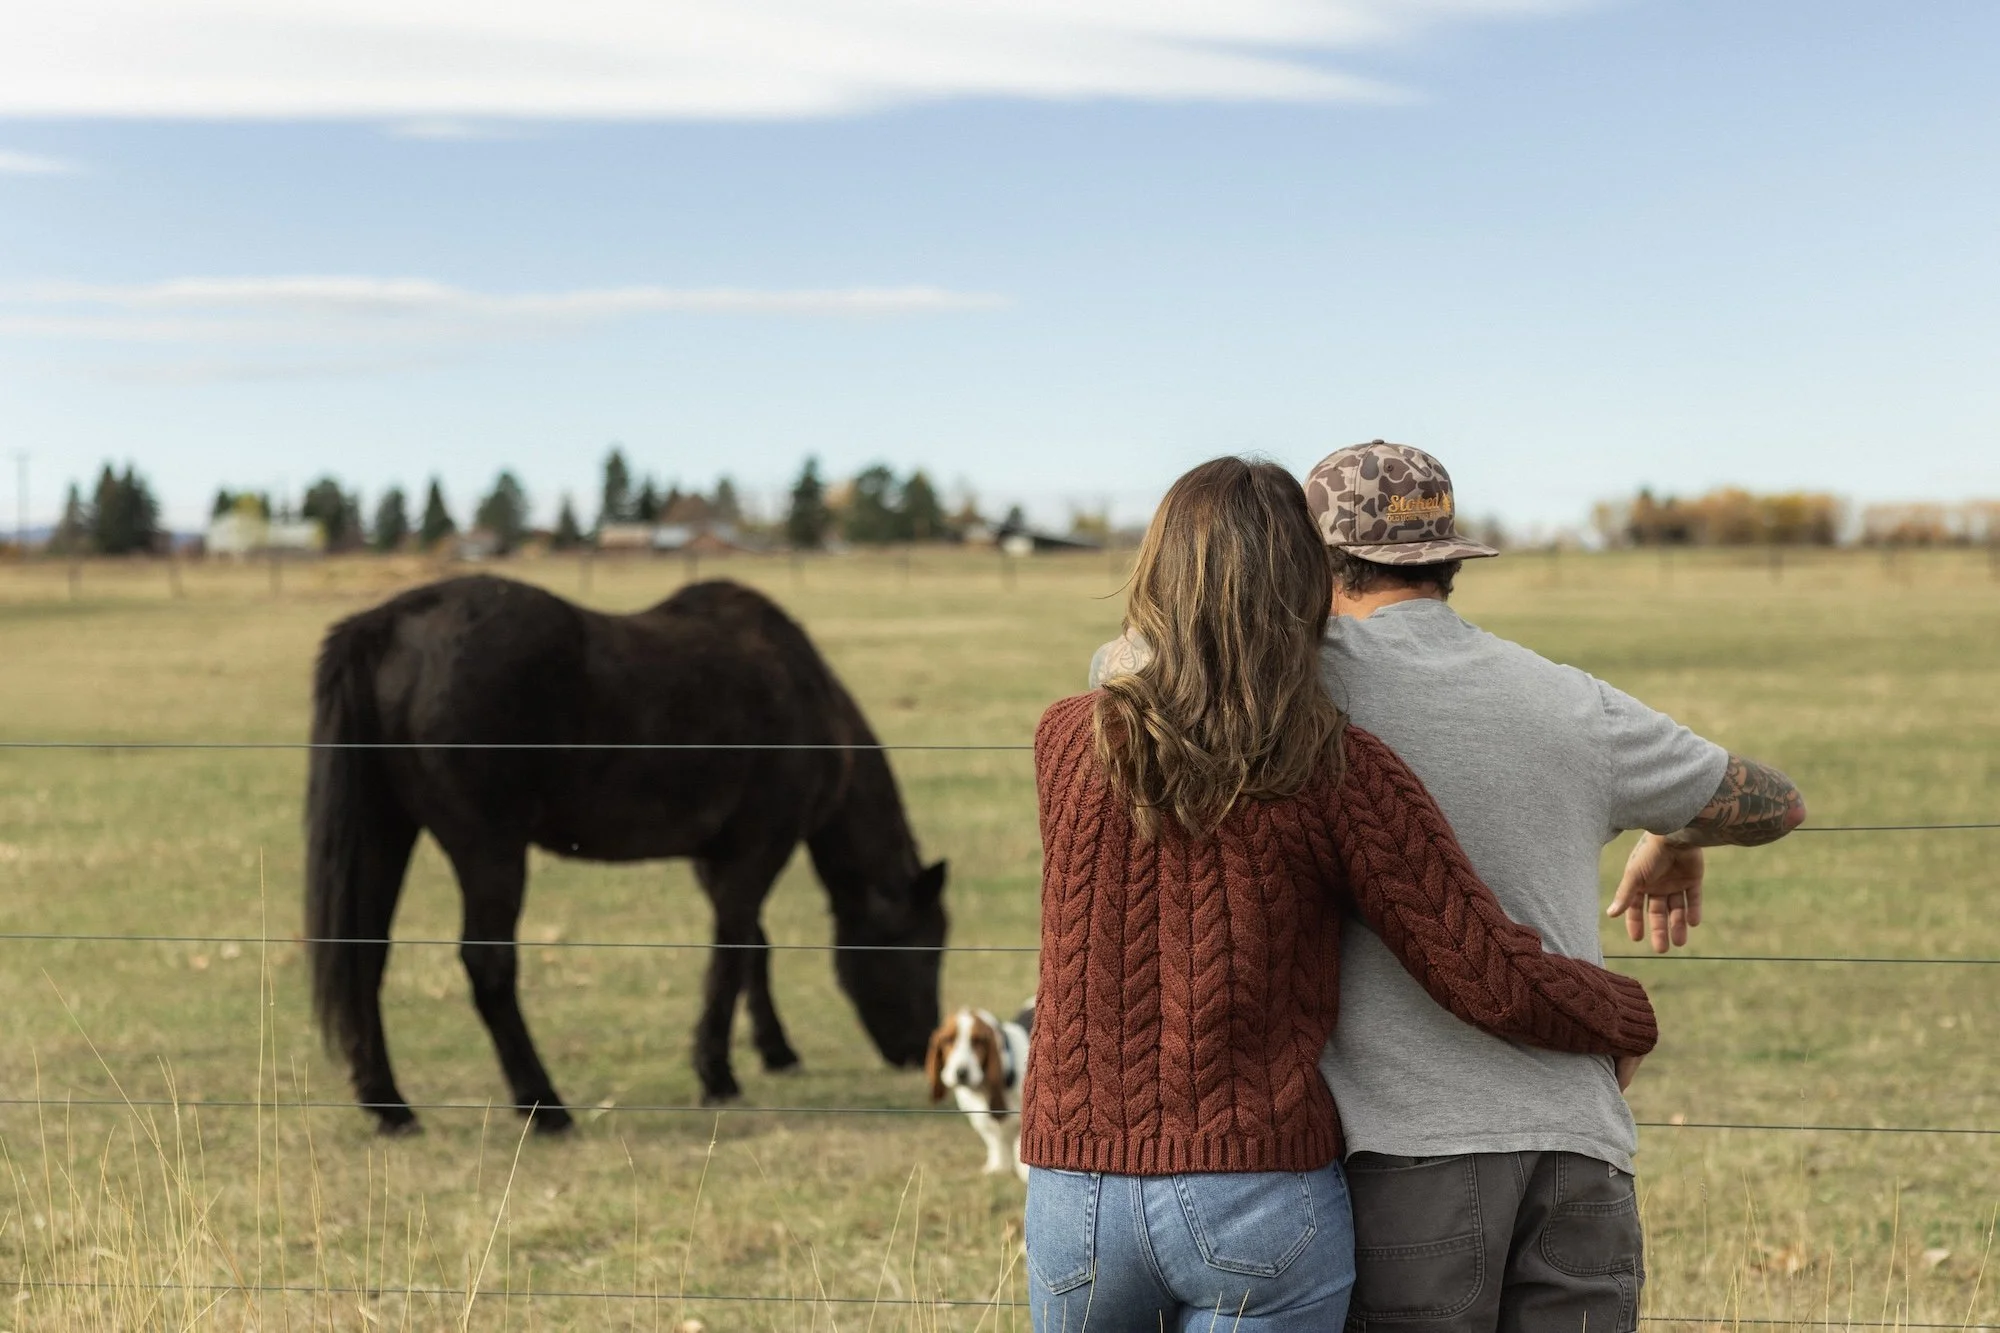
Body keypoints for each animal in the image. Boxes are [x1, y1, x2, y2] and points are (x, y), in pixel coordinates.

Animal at [304, 574, 947, 1134]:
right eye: (924, 949)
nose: (922, 1050)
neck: (804, 695)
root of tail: (389, 625)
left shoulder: (714, 858)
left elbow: (751, 949)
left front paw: (774, 1052)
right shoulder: (758, 848)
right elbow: (734, 951)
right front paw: (718, 1075)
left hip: (389, 832)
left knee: (365, 957)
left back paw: (391, 1108)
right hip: (488, 850)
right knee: (488, 964)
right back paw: (545, 1107)